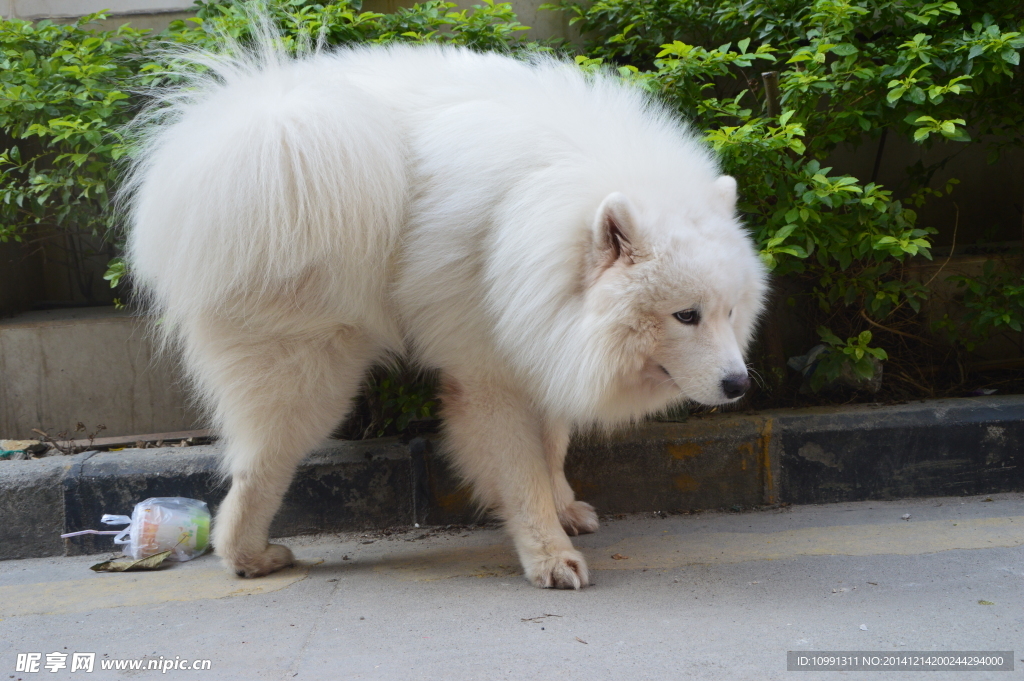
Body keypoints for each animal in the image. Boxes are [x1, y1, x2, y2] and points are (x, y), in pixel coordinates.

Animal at [123, 31, 765, 585]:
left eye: (731, 313)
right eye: (686, 315)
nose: (738, 384)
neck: (537, 224)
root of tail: (253, 131)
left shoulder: (539, 337)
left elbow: (552, 446)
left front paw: (562, 508)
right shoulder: (487, 372)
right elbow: (521, 470)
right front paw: (548, 554)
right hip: (308, 370)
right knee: (257, 466)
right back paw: (247, 556)